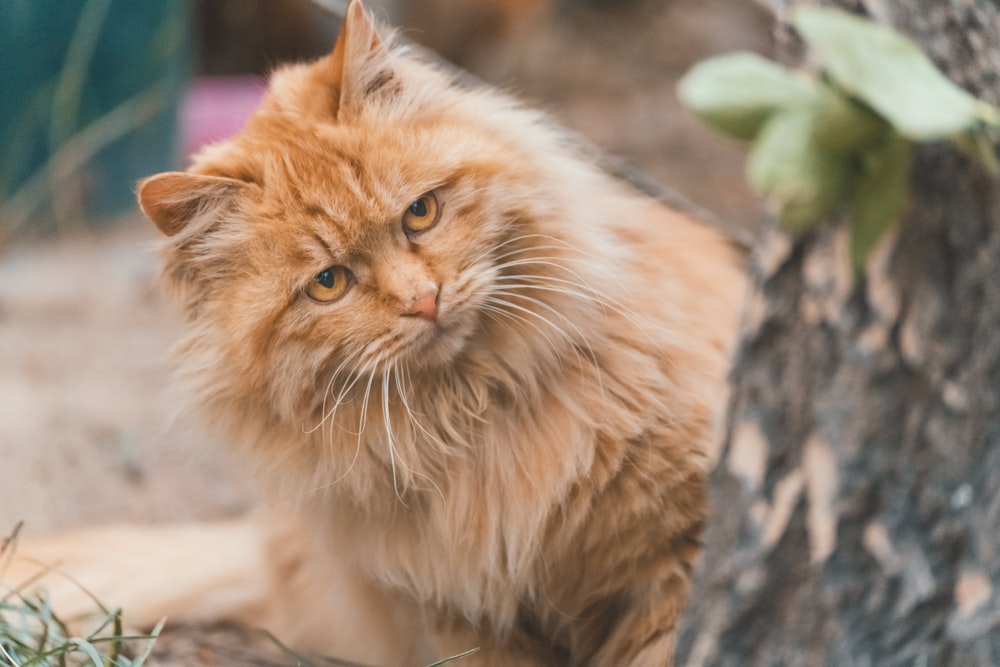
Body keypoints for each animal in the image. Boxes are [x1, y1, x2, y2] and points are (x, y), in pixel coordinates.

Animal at [3, 2, 748, 664]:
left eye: (420, 213)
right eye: (330, 283)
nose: (424, 299)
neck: (473, 418)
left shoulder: (676, 558)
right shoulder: (454, 613)